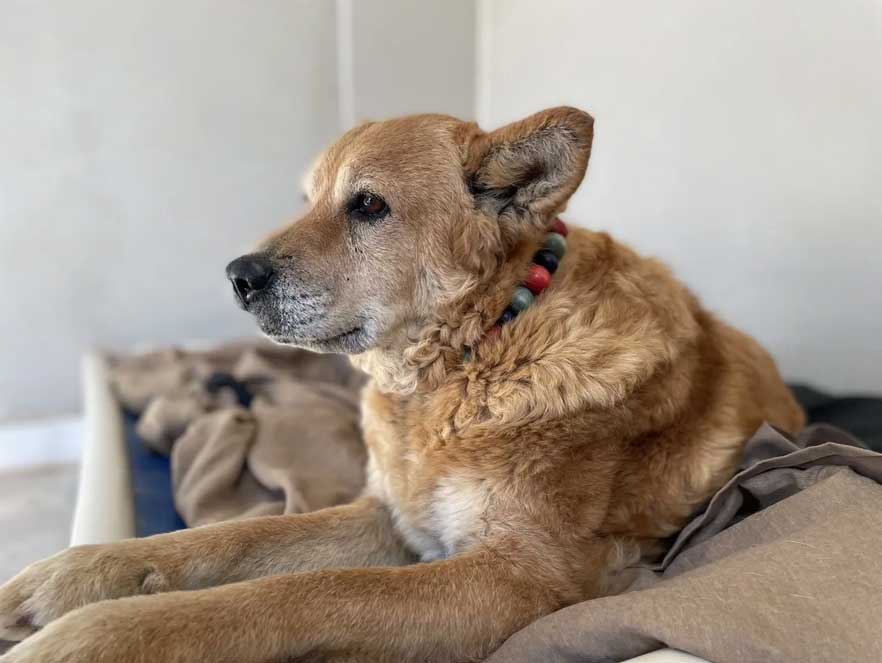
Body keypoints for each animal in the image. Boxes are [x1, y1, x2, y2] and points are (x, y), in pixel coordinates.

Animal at [0, 109, 804, 663]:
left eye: (368, 206)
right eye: (308, 198)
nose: (237, 276)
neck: (467, 361)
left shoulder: (518, 578)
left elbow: (300, 592)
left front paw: (95, 635)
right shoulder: (392, 516)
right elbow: (231, 538)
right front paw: (76, 575)